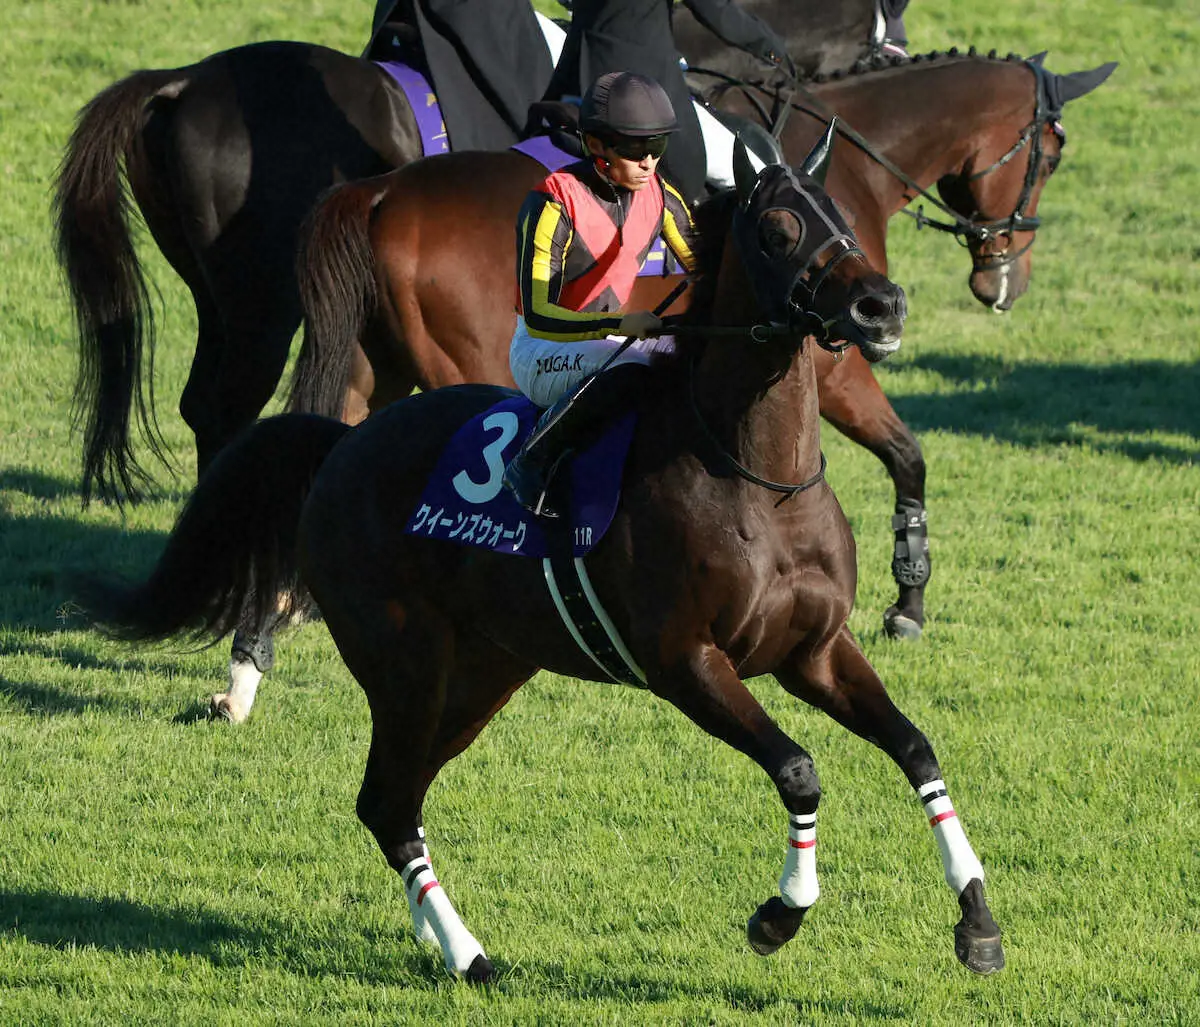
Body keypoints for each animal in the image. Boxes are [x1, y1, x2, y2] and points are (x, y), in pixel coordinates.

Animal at [84, 155, 1003, 983]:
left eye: (840, 213)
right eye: (780, 229)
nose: (881, 303)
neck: (757, 477)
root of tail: (341, 445)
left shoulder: (814, 651)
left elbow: (916, 748)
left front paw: (978, 922)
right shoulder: (686, 662)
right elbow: (800, 769)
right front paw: (780, 912)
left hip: (483, 672)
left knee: (397, 800)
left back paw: (433, 932)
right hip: (407, 663)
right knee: (387, 800)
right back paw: (467, 953)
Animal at [288, 47, 1113, 652]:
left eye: (839, 216)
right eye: (1051, 153)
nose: (1004, 279)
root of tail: (383, 192)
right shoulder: (838, 368)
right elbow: (908, 455)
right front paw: (908, 601)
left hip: (375, 373)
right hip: (472, 373)